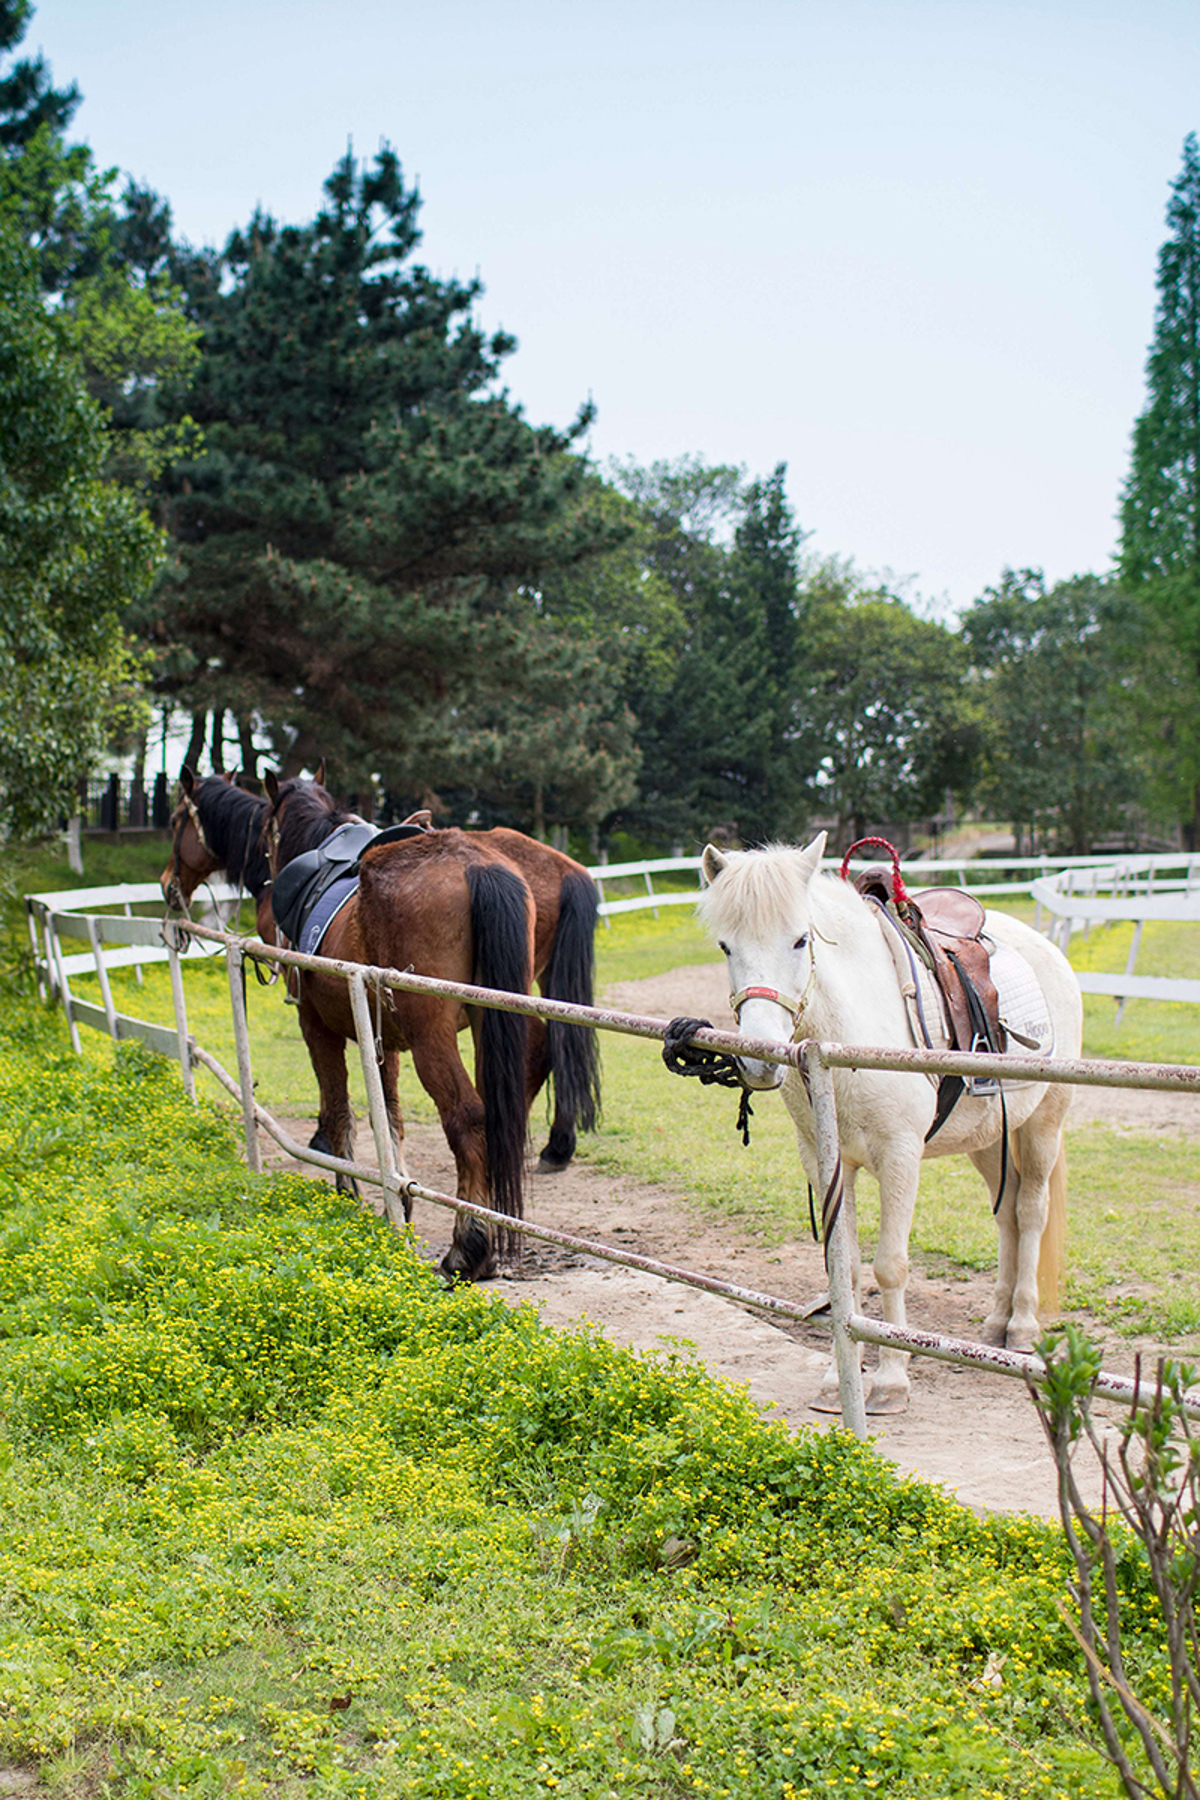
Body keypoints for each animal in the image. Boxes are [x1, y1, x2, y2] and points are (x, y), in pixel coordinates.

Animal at [694, 832, 1083, 1414]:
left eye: (800, 940)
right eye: (725, 947)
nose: (758, 1059)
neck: (846, 1037)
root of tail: (1047, 949)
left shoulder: (900, 1157)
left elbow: (890, 1266)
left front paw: (892, 1381)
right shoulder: (826, 1161)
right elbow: (847, 1267)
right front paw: (838, 1378)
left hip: (1042, 1126)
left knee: (1031, 1212)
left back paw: (1021, 1327)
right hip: (988, 1139)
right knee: (1007, 1214)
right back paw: (995, 1323)